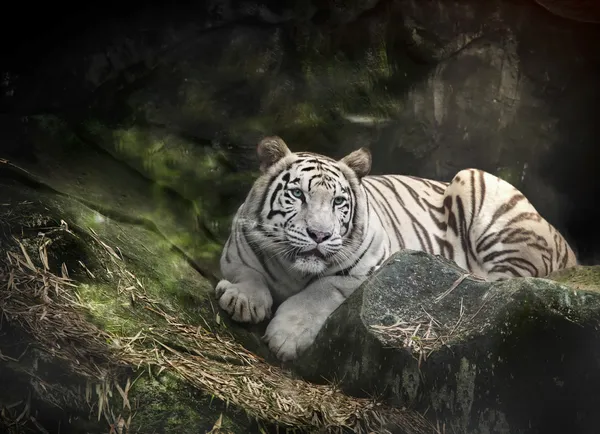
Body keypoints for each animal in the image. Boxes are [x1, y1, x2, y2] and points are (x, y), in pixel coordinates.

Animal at [216, 137, 576, 362]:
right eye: (297, 194)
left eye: (338, 202)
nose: (319, 234)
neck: (294, 268)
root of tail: (566, 243)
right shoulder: (236, 250)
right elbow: (247, 273)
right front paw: (242, 300)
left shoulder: (367, 265)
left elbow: (321, 290)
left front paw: (286, 337)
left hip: (480, 186)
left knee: (501, 283)